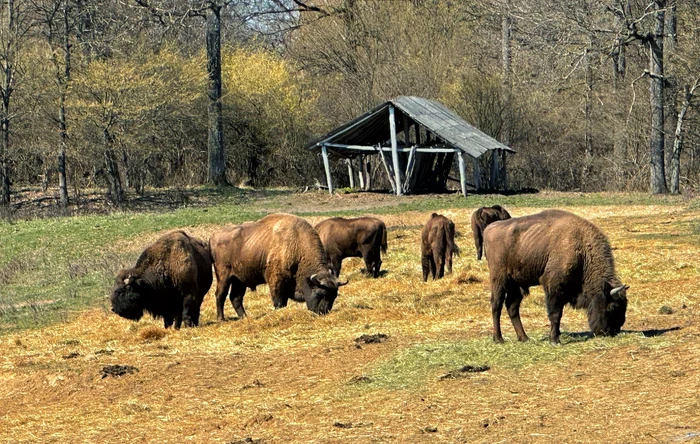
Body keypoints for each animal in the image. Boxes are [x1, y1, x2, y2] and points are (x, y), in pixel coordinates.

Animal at [209, 212, 348, 320]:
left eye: (334, 295)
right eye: (319, 293)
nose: (323, 311)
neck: (297, 245)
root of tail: (213, 237)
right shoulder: (276, 280)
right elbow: (279, 300)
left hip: (239, 280)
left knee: (235, 297)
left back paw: (245, 317)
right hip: (224, 276)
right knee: (220, 295)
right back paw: (221, 319)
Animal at [482, 210, 628, 346]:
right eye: (612, 306)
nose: (613, 331)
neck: (582, 249)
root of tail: (489, 229)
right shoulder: (554, 288)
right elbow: (556, 314)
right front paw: (554, 340)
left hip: (516, 284)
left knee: (512, 307)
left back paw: (524, 338)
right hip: (499, 279)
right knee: (496, 305)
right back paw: (498, 339)